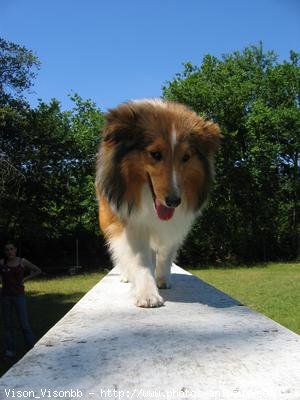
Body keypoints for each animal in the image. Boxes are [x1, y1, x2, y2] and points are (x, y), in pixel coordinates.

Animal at [96, 98, 220, 308]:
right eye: (155, 154)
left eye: (186, 157)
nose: (174, 201)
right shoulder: (131, 222)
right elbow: (140, 260)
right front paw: (147, 294)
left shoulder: (175, 225)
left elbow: (166, 252)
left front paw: (162, 279)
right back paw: (126, 275)